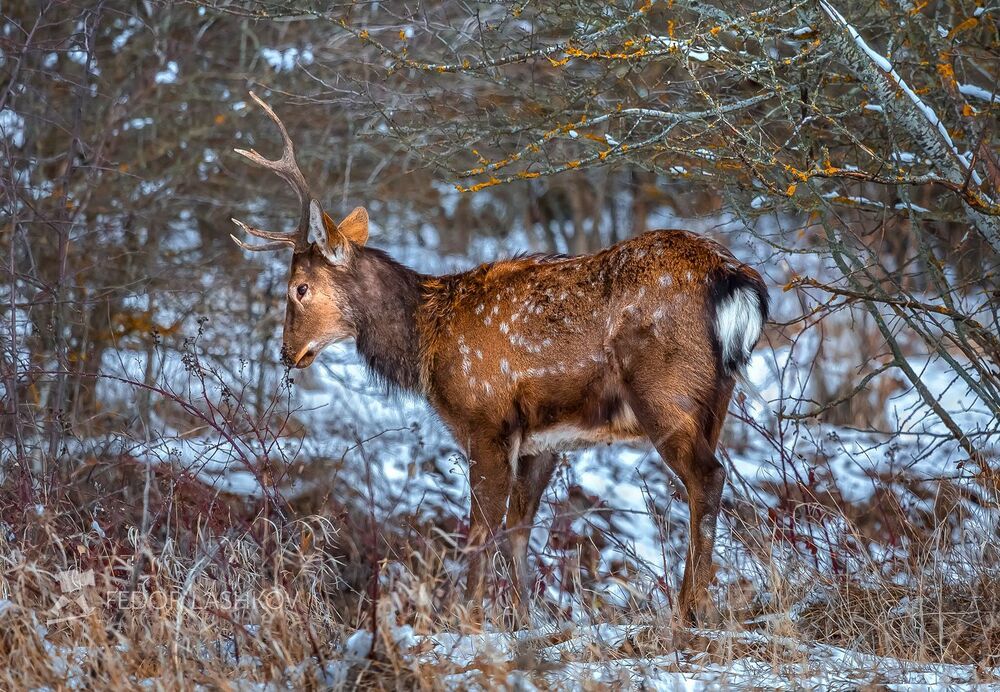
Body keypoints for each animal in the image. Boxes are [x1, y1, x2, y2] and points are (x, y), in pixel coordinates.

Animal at [230, 93, 769, 625]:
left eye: (299, 287)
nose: (287, 352)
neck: (426, 343)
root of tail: (734, 278)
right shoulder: (542, 441)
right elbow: (516, 530)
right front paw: (524, 621)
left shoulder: (485, 418)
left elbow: (478, 533)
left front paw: (467, 620)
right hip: (717, 397)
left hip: (664, 390)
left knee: (708, 477)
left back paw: (688, 613)